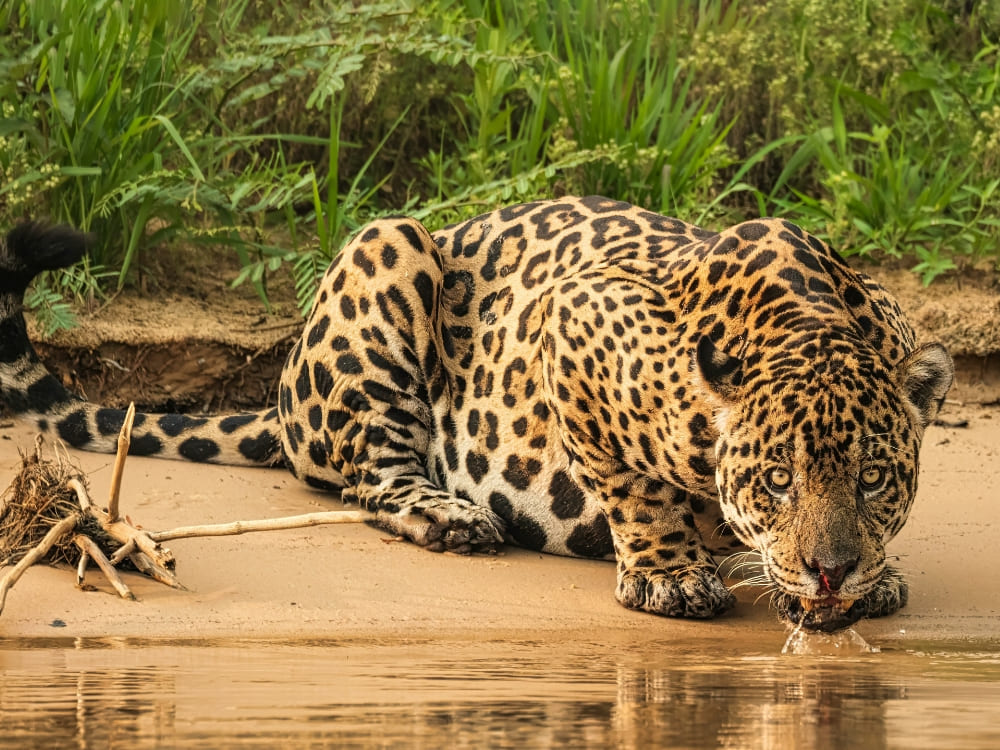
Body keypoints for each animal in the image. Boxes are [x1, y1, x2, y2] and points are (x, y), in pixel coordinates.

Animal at [0, 196, 954, 632]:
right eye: (776, 480)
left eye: (875, 479)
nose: (830, 572)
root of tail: (283, 389)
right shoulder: (575, 320)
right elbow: (633, 483)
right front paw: (670, 574)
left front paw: (875, 576)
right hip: (387, 249)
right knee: (373, 476)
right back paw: (451, 515)